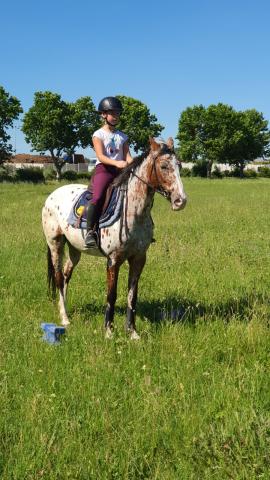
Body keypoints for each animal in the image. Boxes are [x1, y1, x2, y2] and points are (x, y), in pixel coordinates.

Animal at [42, 137, 187, 340]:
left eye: (179, 165)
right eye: (164, 166)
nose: (181, 201)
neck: (134, 211)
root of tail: (53, 195)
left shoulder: (139, 258)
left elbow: (132, 295)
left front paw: (132, 333)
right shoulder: (113, 260)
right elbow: (111, 294)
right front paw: (109, 331)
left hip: (75, 249)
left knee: (65, 275)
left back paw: (66, 309)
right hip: (55, 243)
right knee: (57, 277)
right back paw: (64, 318)